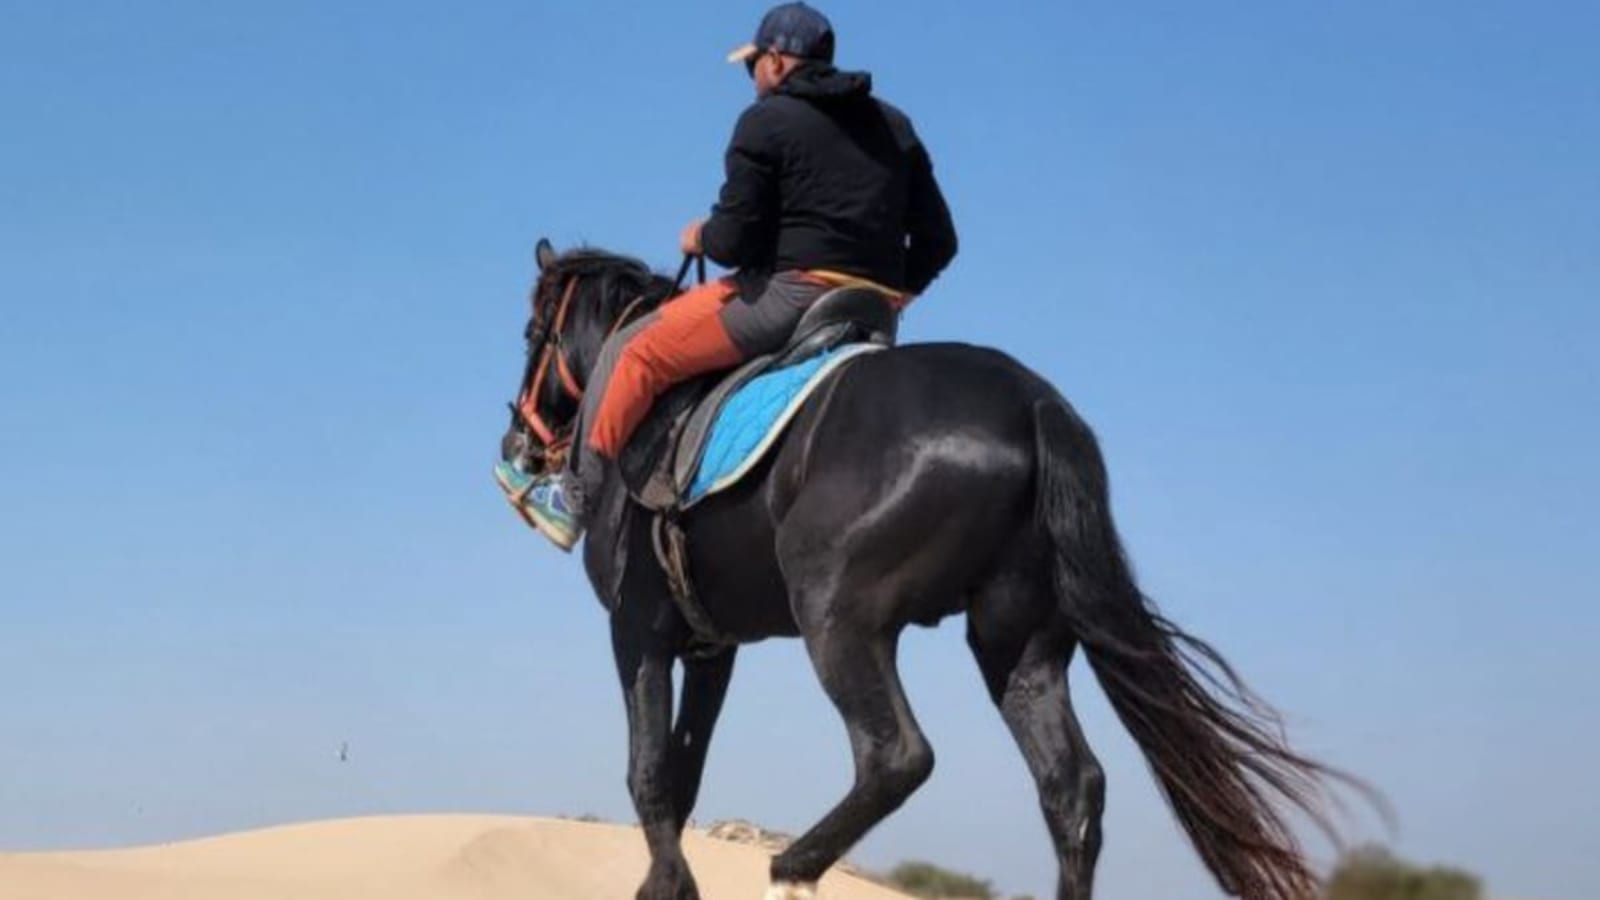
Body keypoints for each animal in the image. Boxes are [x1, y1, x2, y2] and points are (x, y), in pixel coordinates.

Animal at [499, 239, 1374, 900]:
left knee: (897, 756)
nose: (518, 443)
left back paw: (793, 867)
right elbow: (682, 774)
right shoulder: (715, 647)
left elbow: (649, 770)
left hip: (839, 616)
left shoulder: (638, 630)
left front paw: (668, 886)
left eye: (532, 331)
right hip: (1018, 642)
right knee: (1072, 787)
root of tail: (1035, 406)